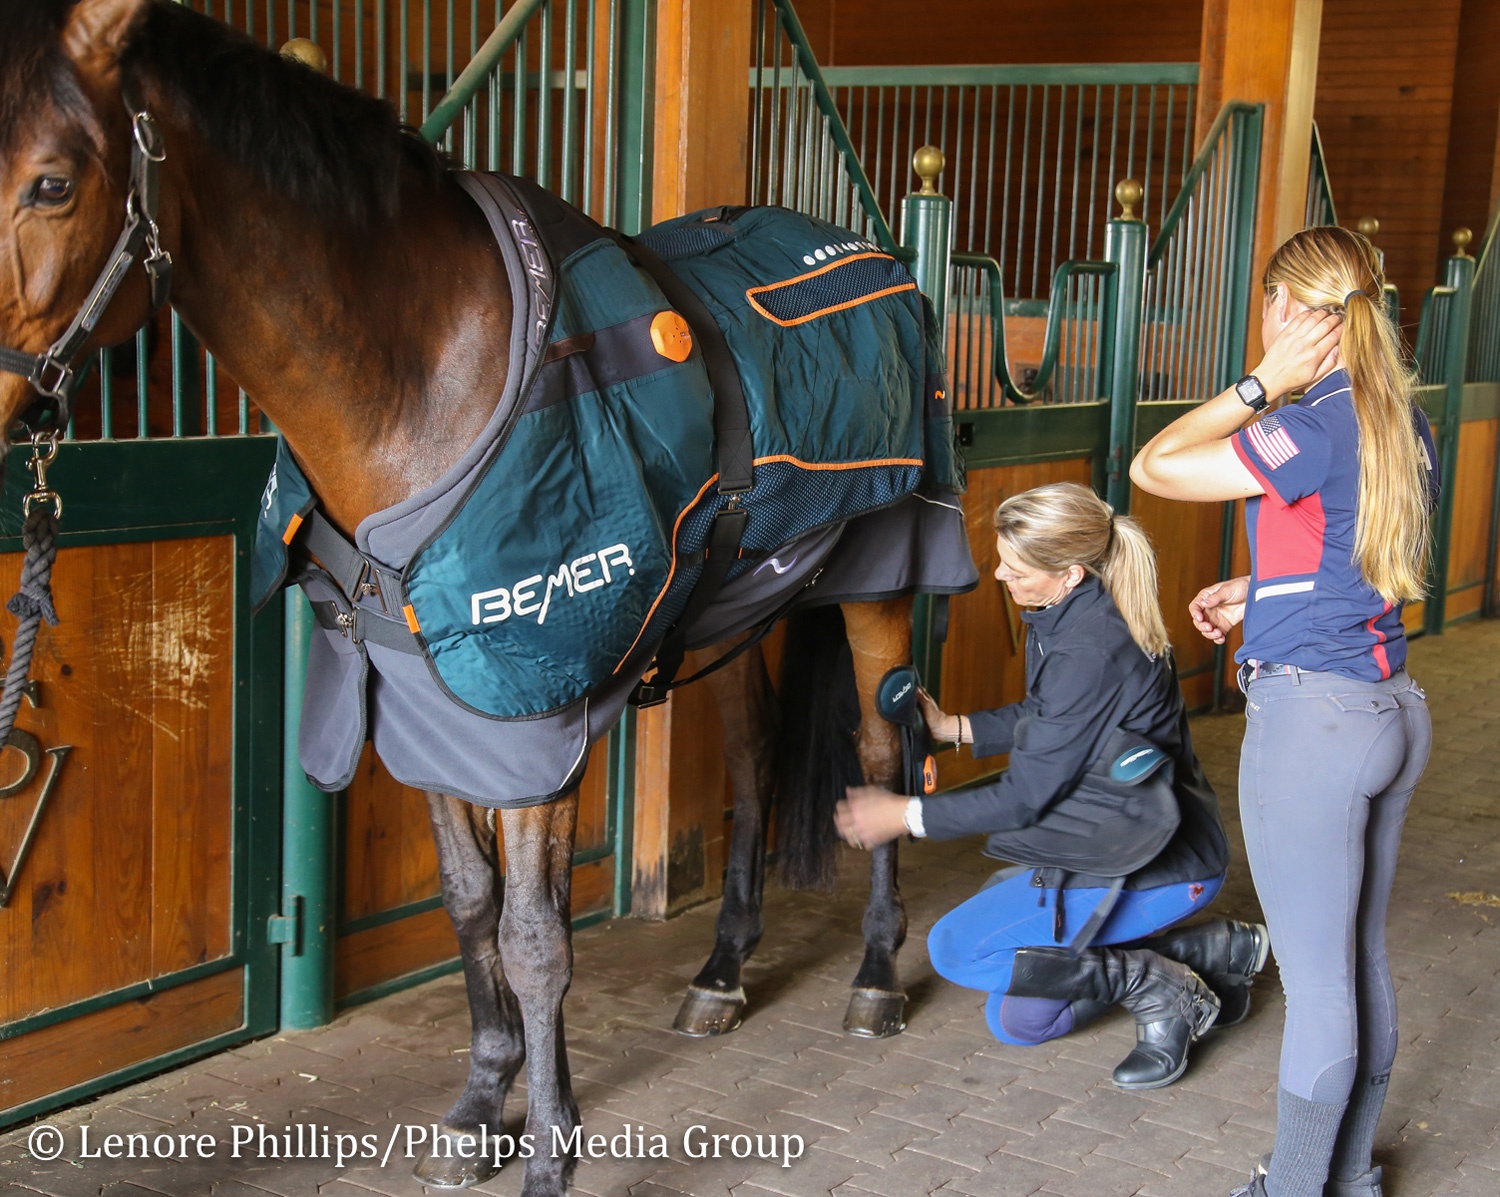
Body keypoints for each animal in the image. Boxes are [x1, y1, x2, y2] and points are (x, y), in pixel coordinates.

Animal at [0, 4, 972, 1194]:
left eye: (51, 183)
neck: (429, 386)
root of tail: (884, 264)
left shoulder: (534, 717)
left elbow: (534, 935)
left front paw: (549, 1155)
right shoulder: (425, 707)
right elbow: (470, 908)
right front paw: (478, 1110)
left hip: (884, 579)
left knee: (884, 756)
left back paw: (875, 977)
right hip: (740, 620)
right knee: (749, 763)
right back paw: (722, 971)